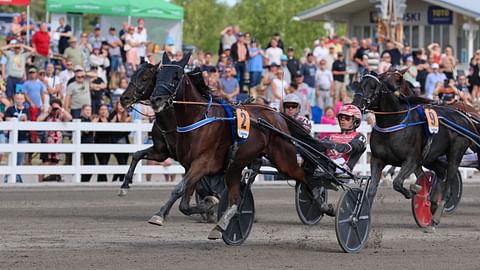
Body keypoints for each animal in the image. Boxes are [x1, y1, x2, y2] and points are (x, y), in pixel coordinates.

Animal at [148, 52, 318, 238]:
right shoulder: (189, 166)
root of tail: (276, 114)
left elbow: (179, 189)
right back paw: (222, 224)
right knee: (236, 198)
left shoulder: (202, 163)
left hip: (284, 160)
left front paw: (160, 214)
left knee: (304, 177)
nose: (155, 99)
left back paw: (320, 203)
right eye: (157, 75)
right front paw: (210, 205)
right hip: (236, 166)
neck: (199, 118)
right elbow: (185, 203)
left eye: (176, 76)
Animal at [350, 73, 478, 231]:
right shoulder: (377, 160)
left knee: (449, 182)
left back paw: (435, 218)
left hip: (456, 152)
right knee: (442, 171)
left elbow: (398, 182)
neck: (394, 122)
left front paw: (413, 190)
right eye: (358, 85)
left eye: (373, 87)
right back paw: (433, 203)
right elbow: (372, 190)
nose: (355, 105)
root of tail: (464, 117)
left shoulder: (412, 160)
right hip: (432, 158)